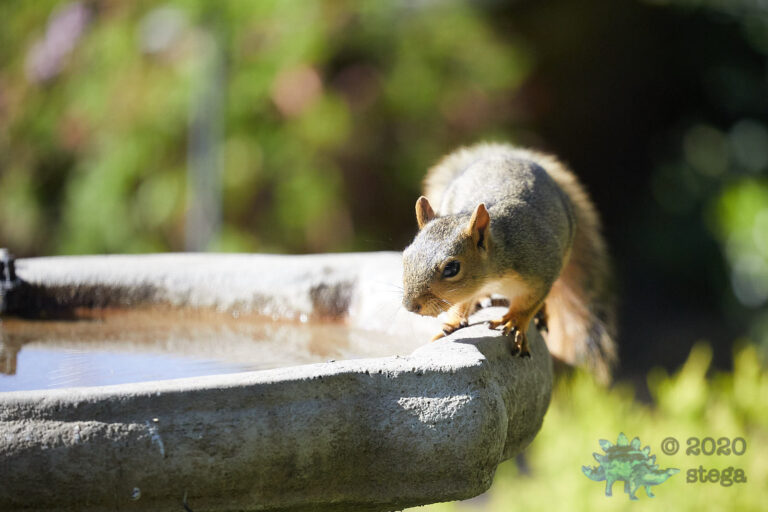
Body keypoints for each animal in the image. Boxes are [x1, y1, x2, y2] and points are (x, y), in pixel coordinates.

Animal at [402, 143, 617, 381]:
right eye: (406, 256)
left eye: (452, 268)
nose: (410, 305)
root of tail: (502, 156)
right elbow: (460, 302)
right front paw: (453, 322)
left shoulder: (543, 267)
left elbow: (530, 302)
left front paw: (515, 320)